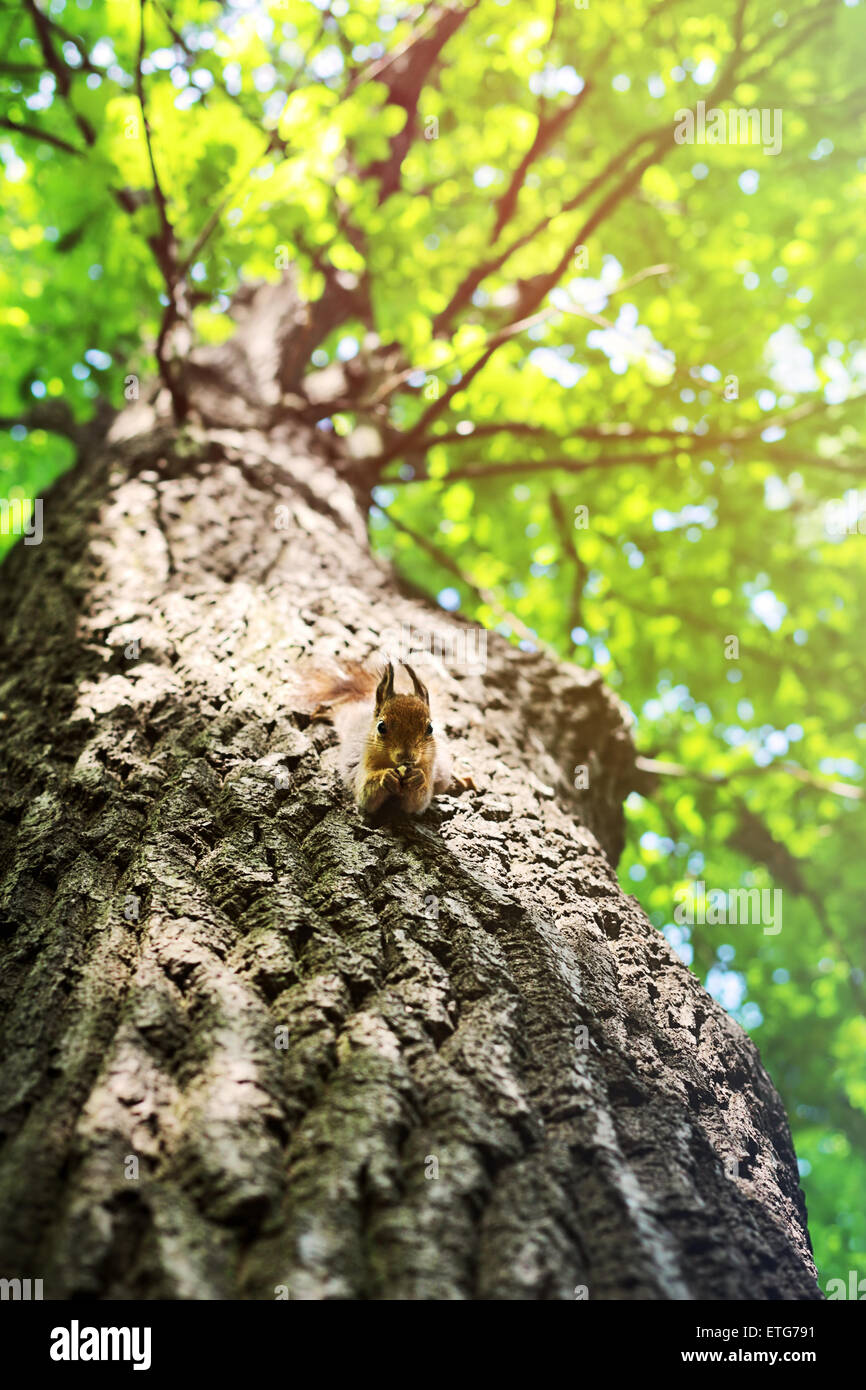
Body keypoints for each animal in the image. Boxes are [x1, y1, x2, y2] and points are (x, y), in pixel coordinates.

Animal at [301, 658, 469, 811]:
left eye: (430, 728)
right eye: (381, 726)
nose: (406, 756)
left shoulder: (429, 769)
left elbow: (417, 803)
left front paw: (417, 778)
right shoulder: (363, 768)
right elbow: (366, 796)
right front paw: (385, 777)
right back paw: (322, 712)